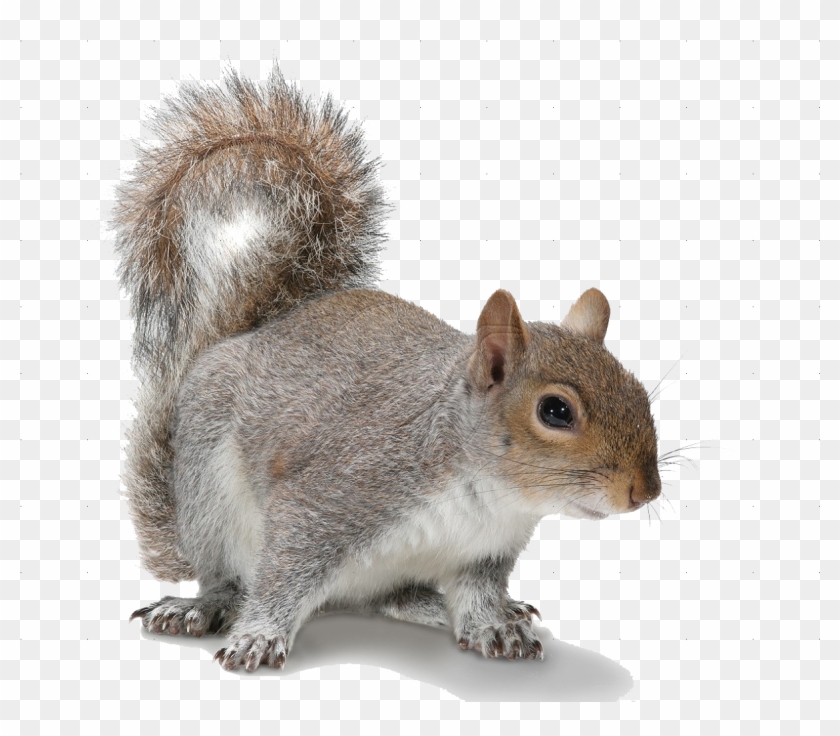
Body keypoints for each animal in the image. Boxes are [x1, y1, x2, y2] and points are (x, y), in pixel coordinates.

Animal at [115, 66, 661, 672]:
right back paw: (202, 606)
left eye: (641, 392)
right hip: (208, 491)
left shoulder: (484, 553)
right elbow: (282, 574)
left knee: (389, 598)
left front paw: (494, 625)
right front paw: (258, 636)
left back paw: (446, 606)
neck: (489, 496)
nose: (646, 491)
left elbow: (477, 595)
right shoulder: (334, 495)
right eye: (556, 410)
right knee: (229, 577)